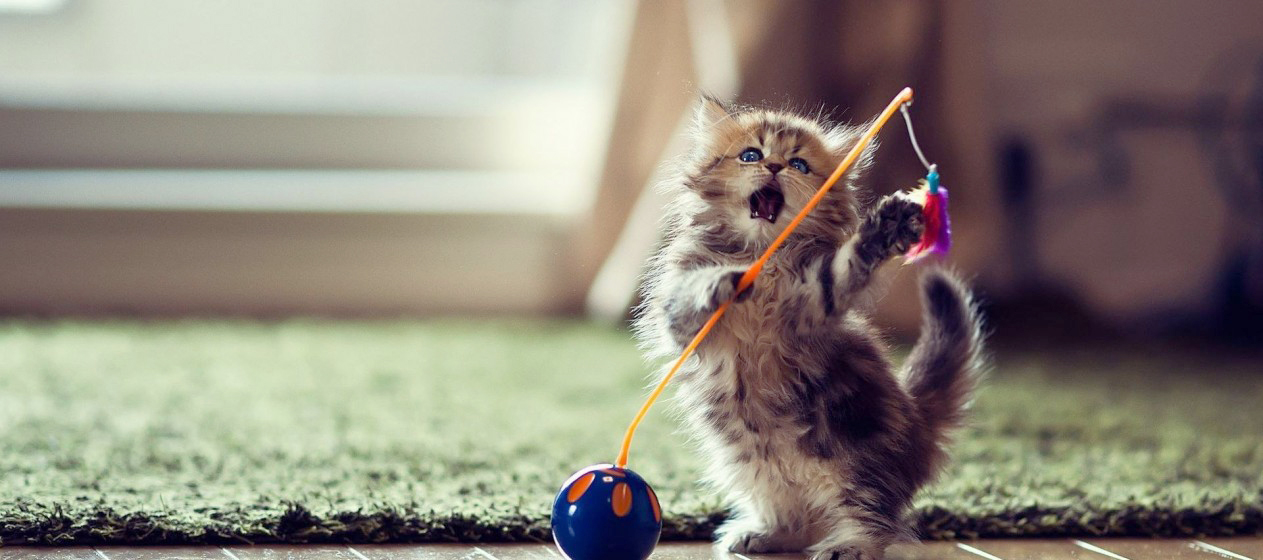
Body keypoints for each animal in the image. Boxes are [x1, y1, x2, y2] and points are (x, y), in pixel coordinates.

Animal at [636, 97, 980, 560]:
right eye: (751, 155)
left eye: (799, 164)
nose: (775, 166)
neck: (763, 254)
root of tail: (917, 421)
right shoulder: (679, 314)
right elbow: (693, 294)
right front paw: (720, 282)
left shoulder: (813, 301)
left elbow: (846, 265)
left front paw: (885, 229)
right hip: (751, 465)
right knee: (797, 519)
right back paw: (763, 534)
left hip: (859, 458)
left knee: (874, 520)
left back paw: (849, 545)